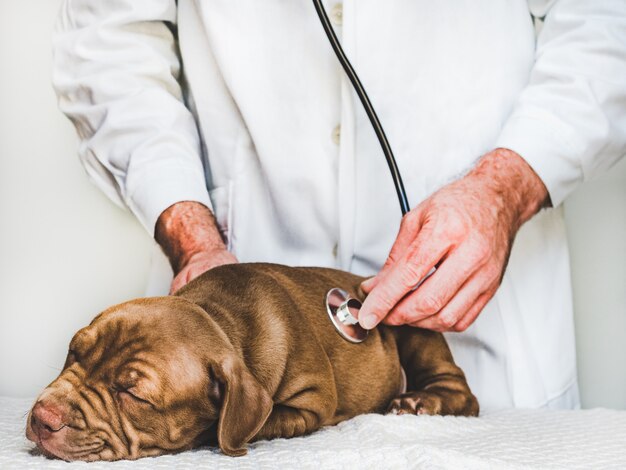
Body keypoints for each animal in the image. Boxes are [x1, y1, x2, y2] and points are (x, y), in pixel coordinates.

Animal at [25, 262, 478, 460]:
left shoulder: (313, 401)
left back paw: (419, 401)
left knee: (463, 392)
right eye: (74, 351)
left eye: (132, 394)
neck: (221, 319)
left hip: (412, 320)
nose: (42, 418)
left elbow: (261, 419)